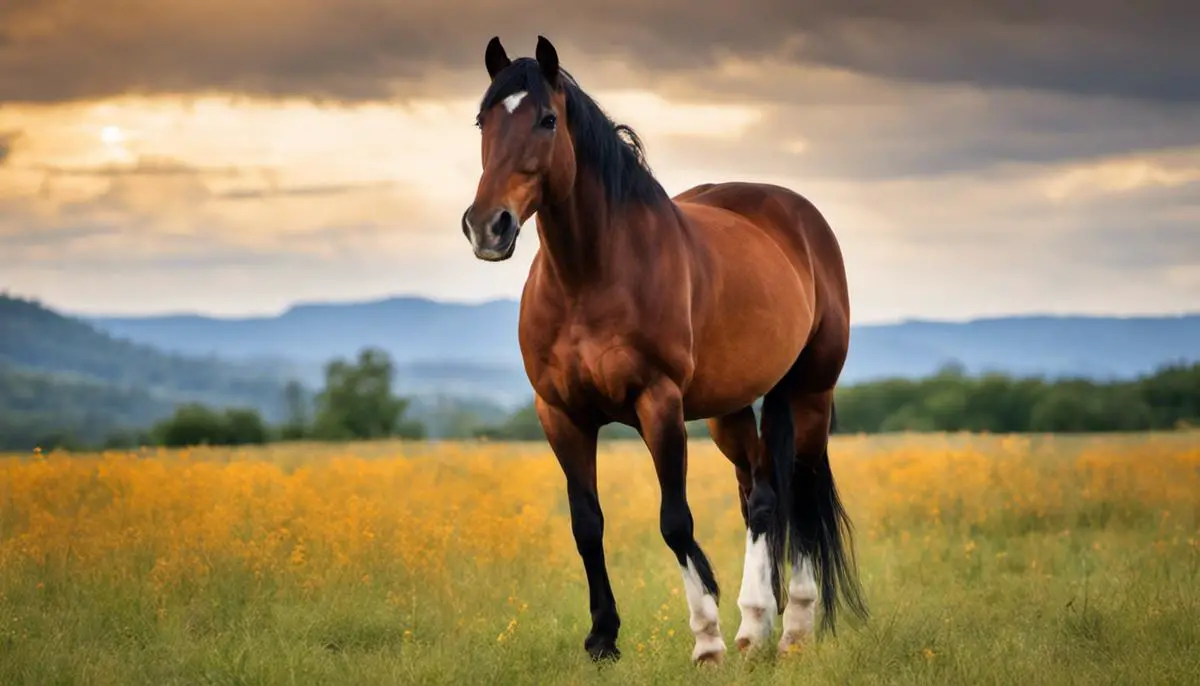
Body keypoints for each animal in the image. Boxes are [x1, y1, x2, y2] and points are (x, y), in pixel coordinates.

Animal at [463, 33, 868, 666]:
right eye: (483, 120)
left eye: (548, 120)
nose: (487, 227)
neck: (590, 277)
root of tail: (797, 216)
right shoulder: (560, 415)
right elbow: (586, 524)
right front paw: (603, 638)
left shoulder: (660, 404)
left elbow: (675, 521)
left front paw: (706, 637)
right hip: (732, 410)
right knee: (759, 496)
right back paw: (756, 624)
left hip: (809, 393)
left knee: (798, 493)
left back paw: (790, 629)